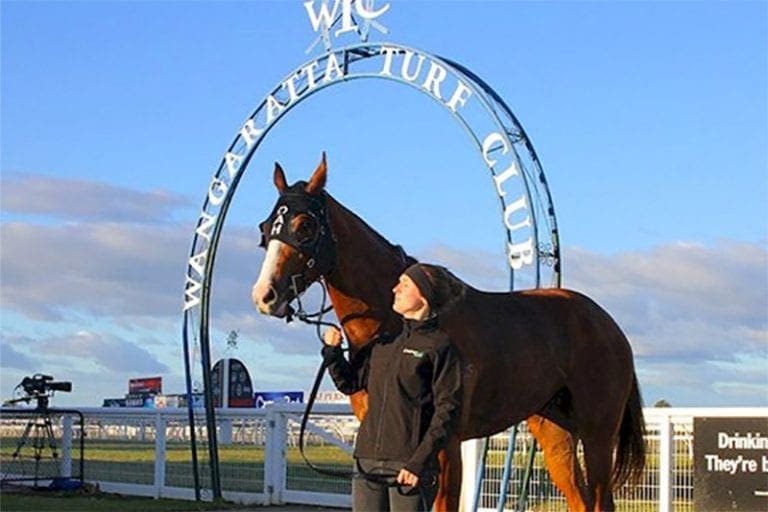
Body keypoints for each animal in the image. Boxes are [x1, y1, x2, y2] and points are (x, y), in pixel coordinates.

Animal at [251, 154, 645, 512]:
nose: (264, 295)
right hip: (555, 433)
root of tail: (607, 324)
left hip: (597, 435)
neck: (399, 325)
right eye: (266, 228)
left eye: (304, 225)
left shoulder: (440, 452)